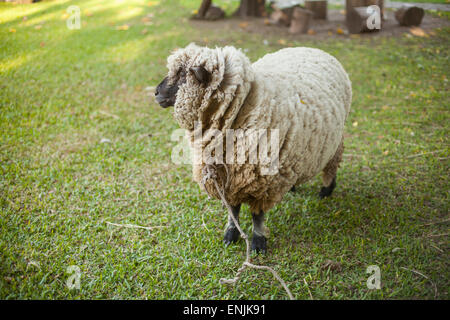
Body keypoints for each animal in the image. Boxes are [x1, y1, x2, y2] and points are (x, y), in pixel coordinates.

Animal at [155, 43, 352, 254]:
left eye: (182, 74)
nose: (156, 93)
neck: (242, 108)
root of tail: (315, 49)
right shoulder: (229, 177)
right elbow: (233, 211)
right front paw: (231, 235)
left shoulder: (262, 181)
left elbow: (257, 215)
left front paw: (258, 242)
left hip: (335, 139)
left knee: (333, 162)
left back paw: (327, 189)